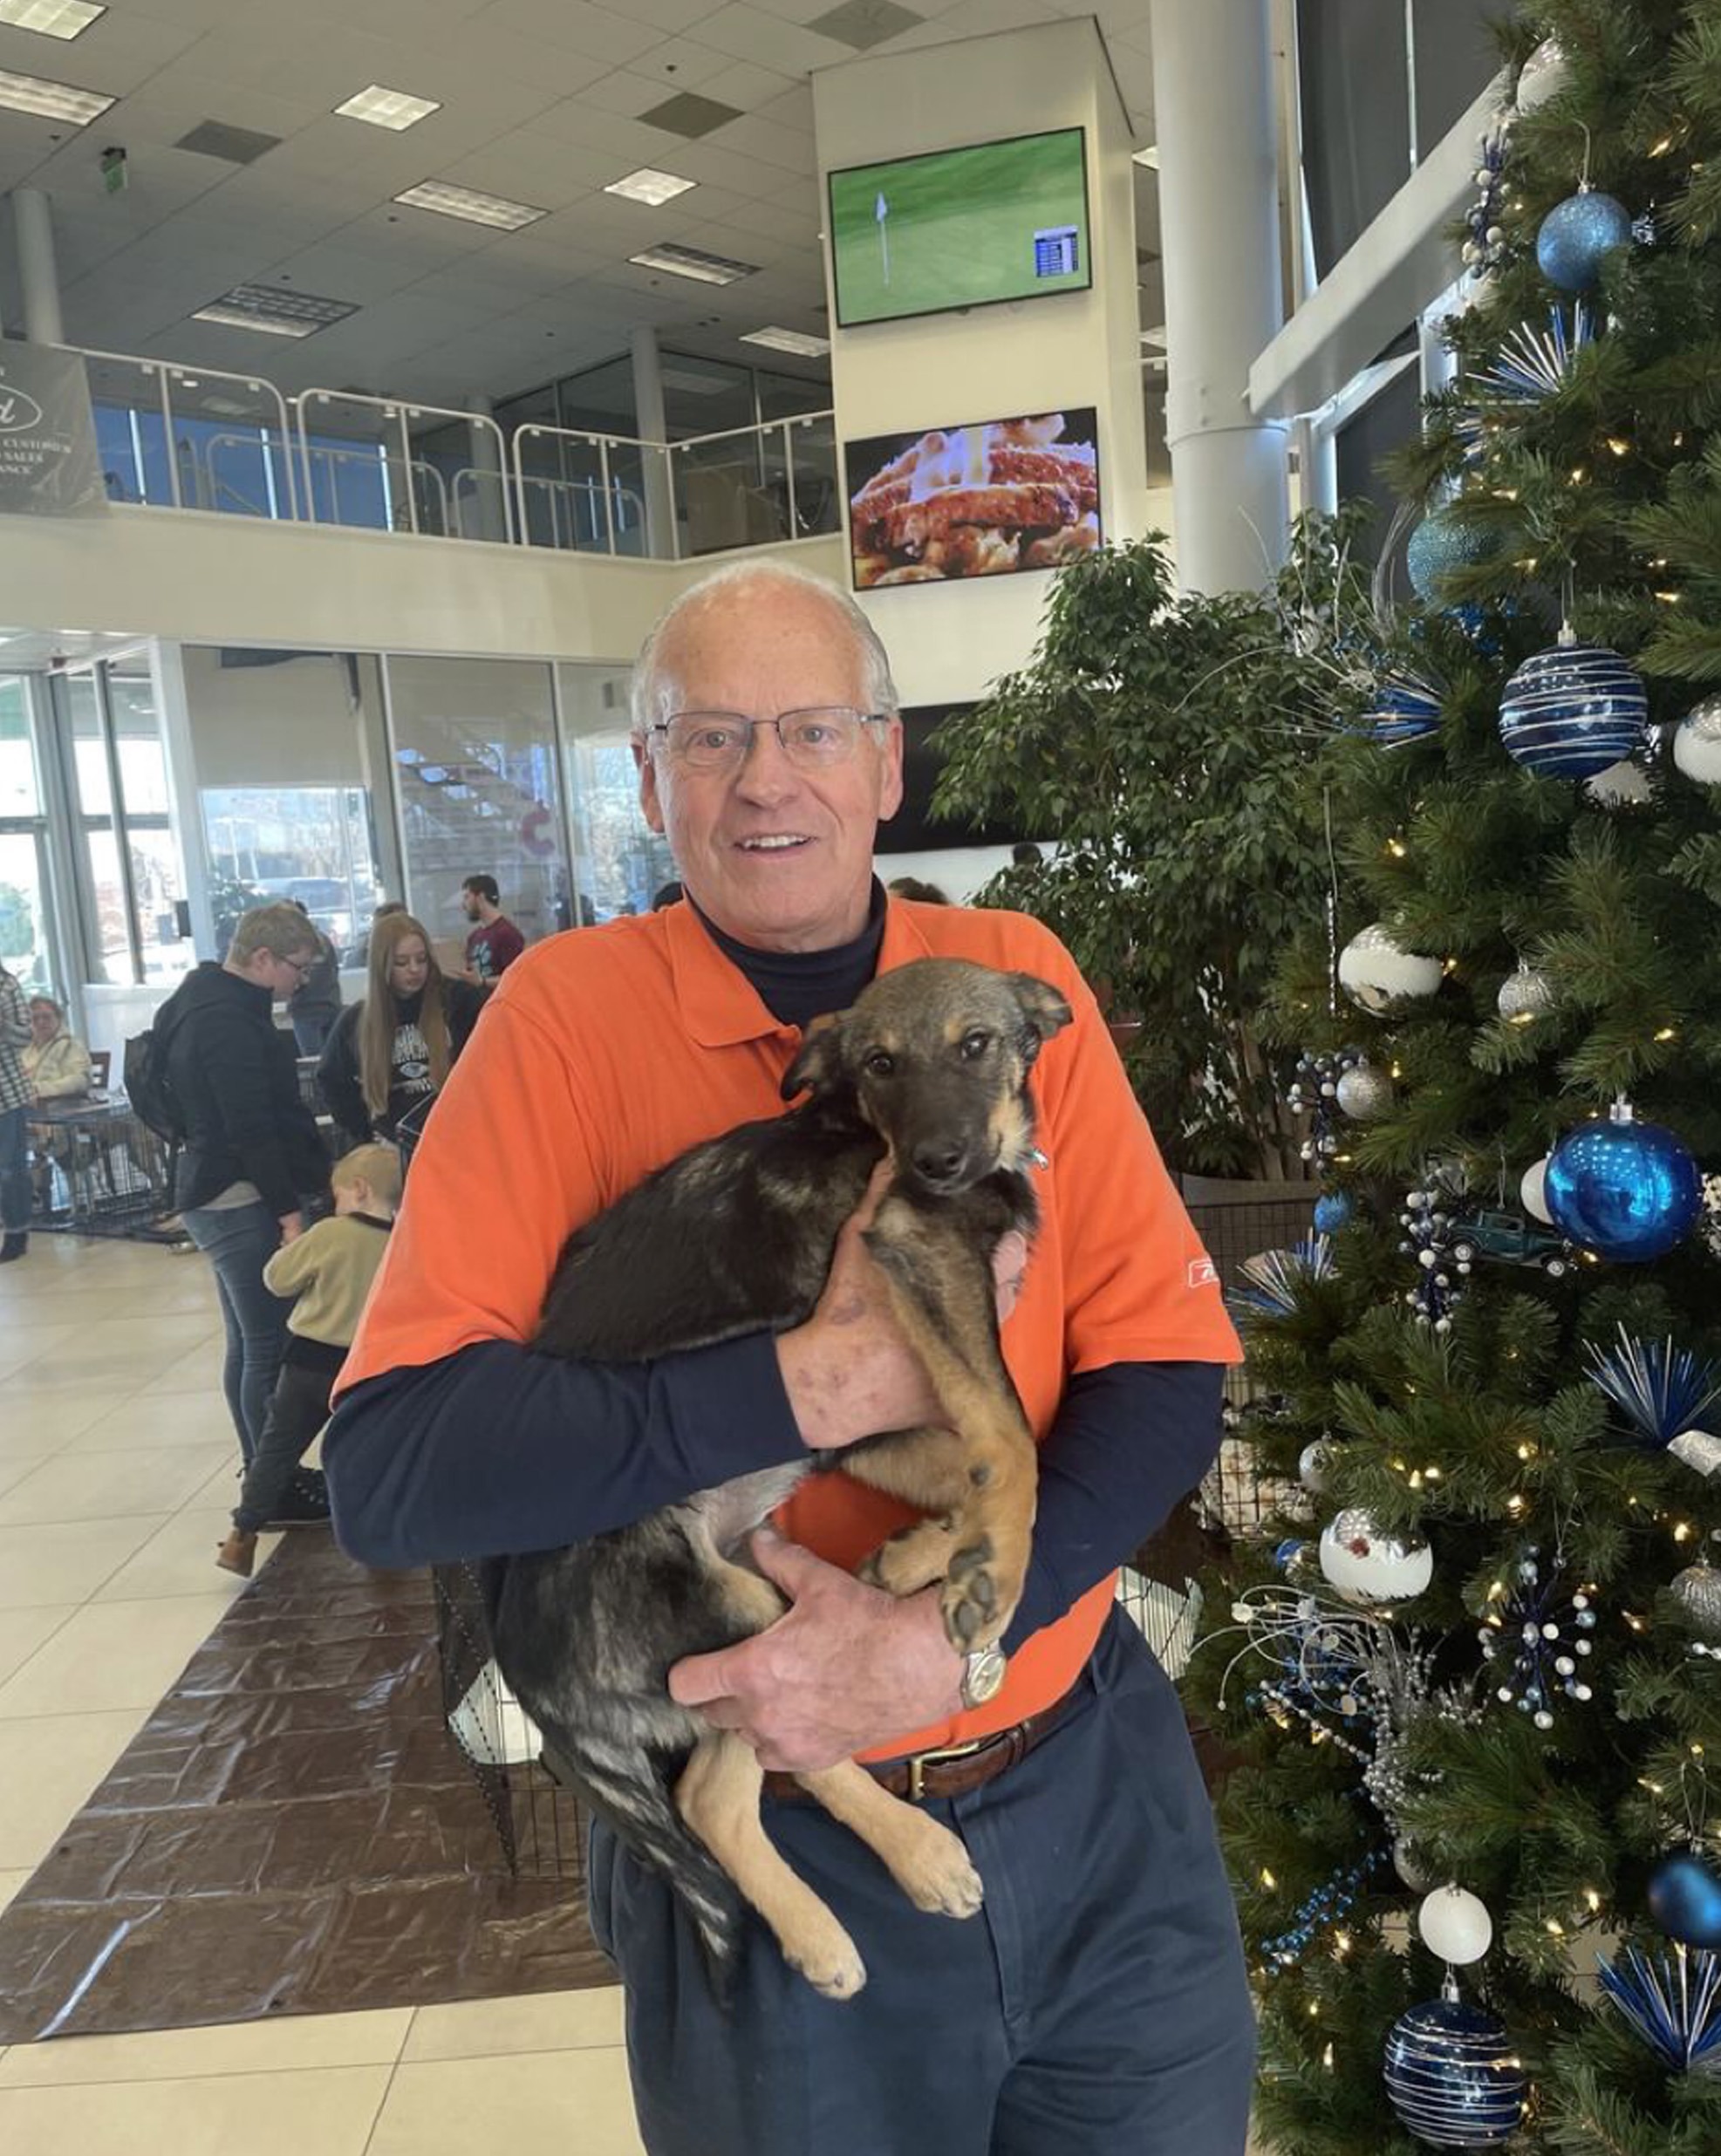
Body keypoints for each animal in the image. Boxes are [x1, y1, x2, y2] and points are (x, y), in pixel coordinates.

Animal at [491, 961, 1069, 2001]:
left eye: (976, 1044)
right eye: (879, 1063)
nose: (937, 1161)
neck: (860, 1127)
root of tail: (532, 1682)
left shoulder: (856, 1427)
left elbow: (975, 1455)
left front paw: (924, 1558)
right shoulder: (917, 1248)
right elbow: (1010, 1434)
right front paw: (993, 1572)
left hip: (733, 1616)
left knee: (709, 1797)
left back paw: (815, 1936)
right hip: (734, 1612)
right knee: (787, 1751)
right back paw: (919, 1856)